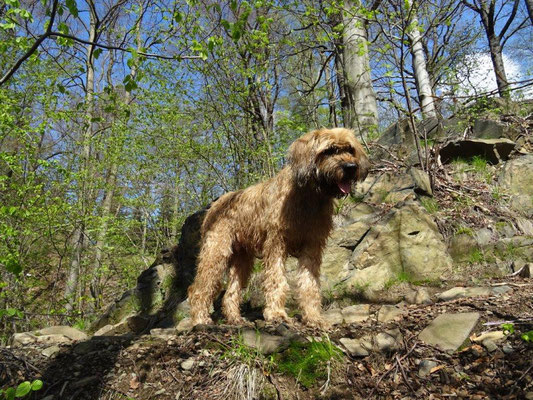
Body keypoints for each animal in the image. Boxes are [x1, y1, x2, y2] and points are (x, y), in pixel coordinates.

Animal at [189, 128, 368, 328]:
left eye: (350, 149)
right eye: (329, 150)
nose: (351, 167)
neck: (309, 197)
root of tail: (214, 205)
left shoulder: (312, 246)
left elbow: (309, 284)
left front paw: (313, 317)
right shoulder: (276, 244)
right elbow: (277, 280)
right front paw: (276, 314)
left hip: (242, 260)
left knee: (230, 292)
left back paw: (235, 319)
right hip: (216, 253)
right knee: (199, 288)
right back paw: (200, 319)